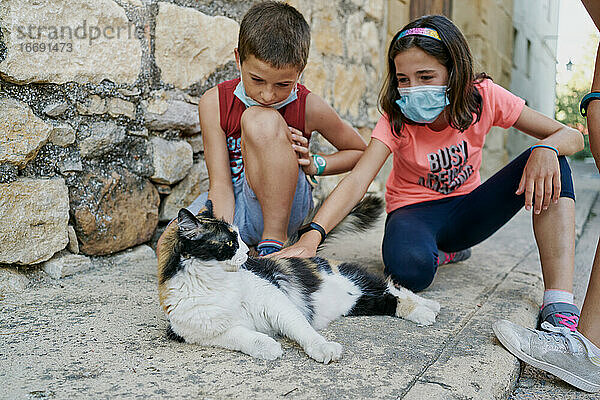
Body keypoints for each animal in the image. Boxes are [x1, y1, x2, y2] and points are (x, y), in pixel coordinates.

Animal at [159, 199, 440, 362]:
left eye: (238, 237)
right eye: (230, 243)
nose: (247, 252)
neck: (214, 282)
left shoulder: (274, 300)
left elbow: (301, 328)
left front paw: (323, 349)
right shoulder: (201, 332)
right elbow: (241, 336)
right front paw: (266, 348)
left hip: (354, 279)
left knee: (395, 286)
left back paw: (428, 308)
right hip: (359, 302)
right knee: (389, 298)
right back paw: (424, 310)